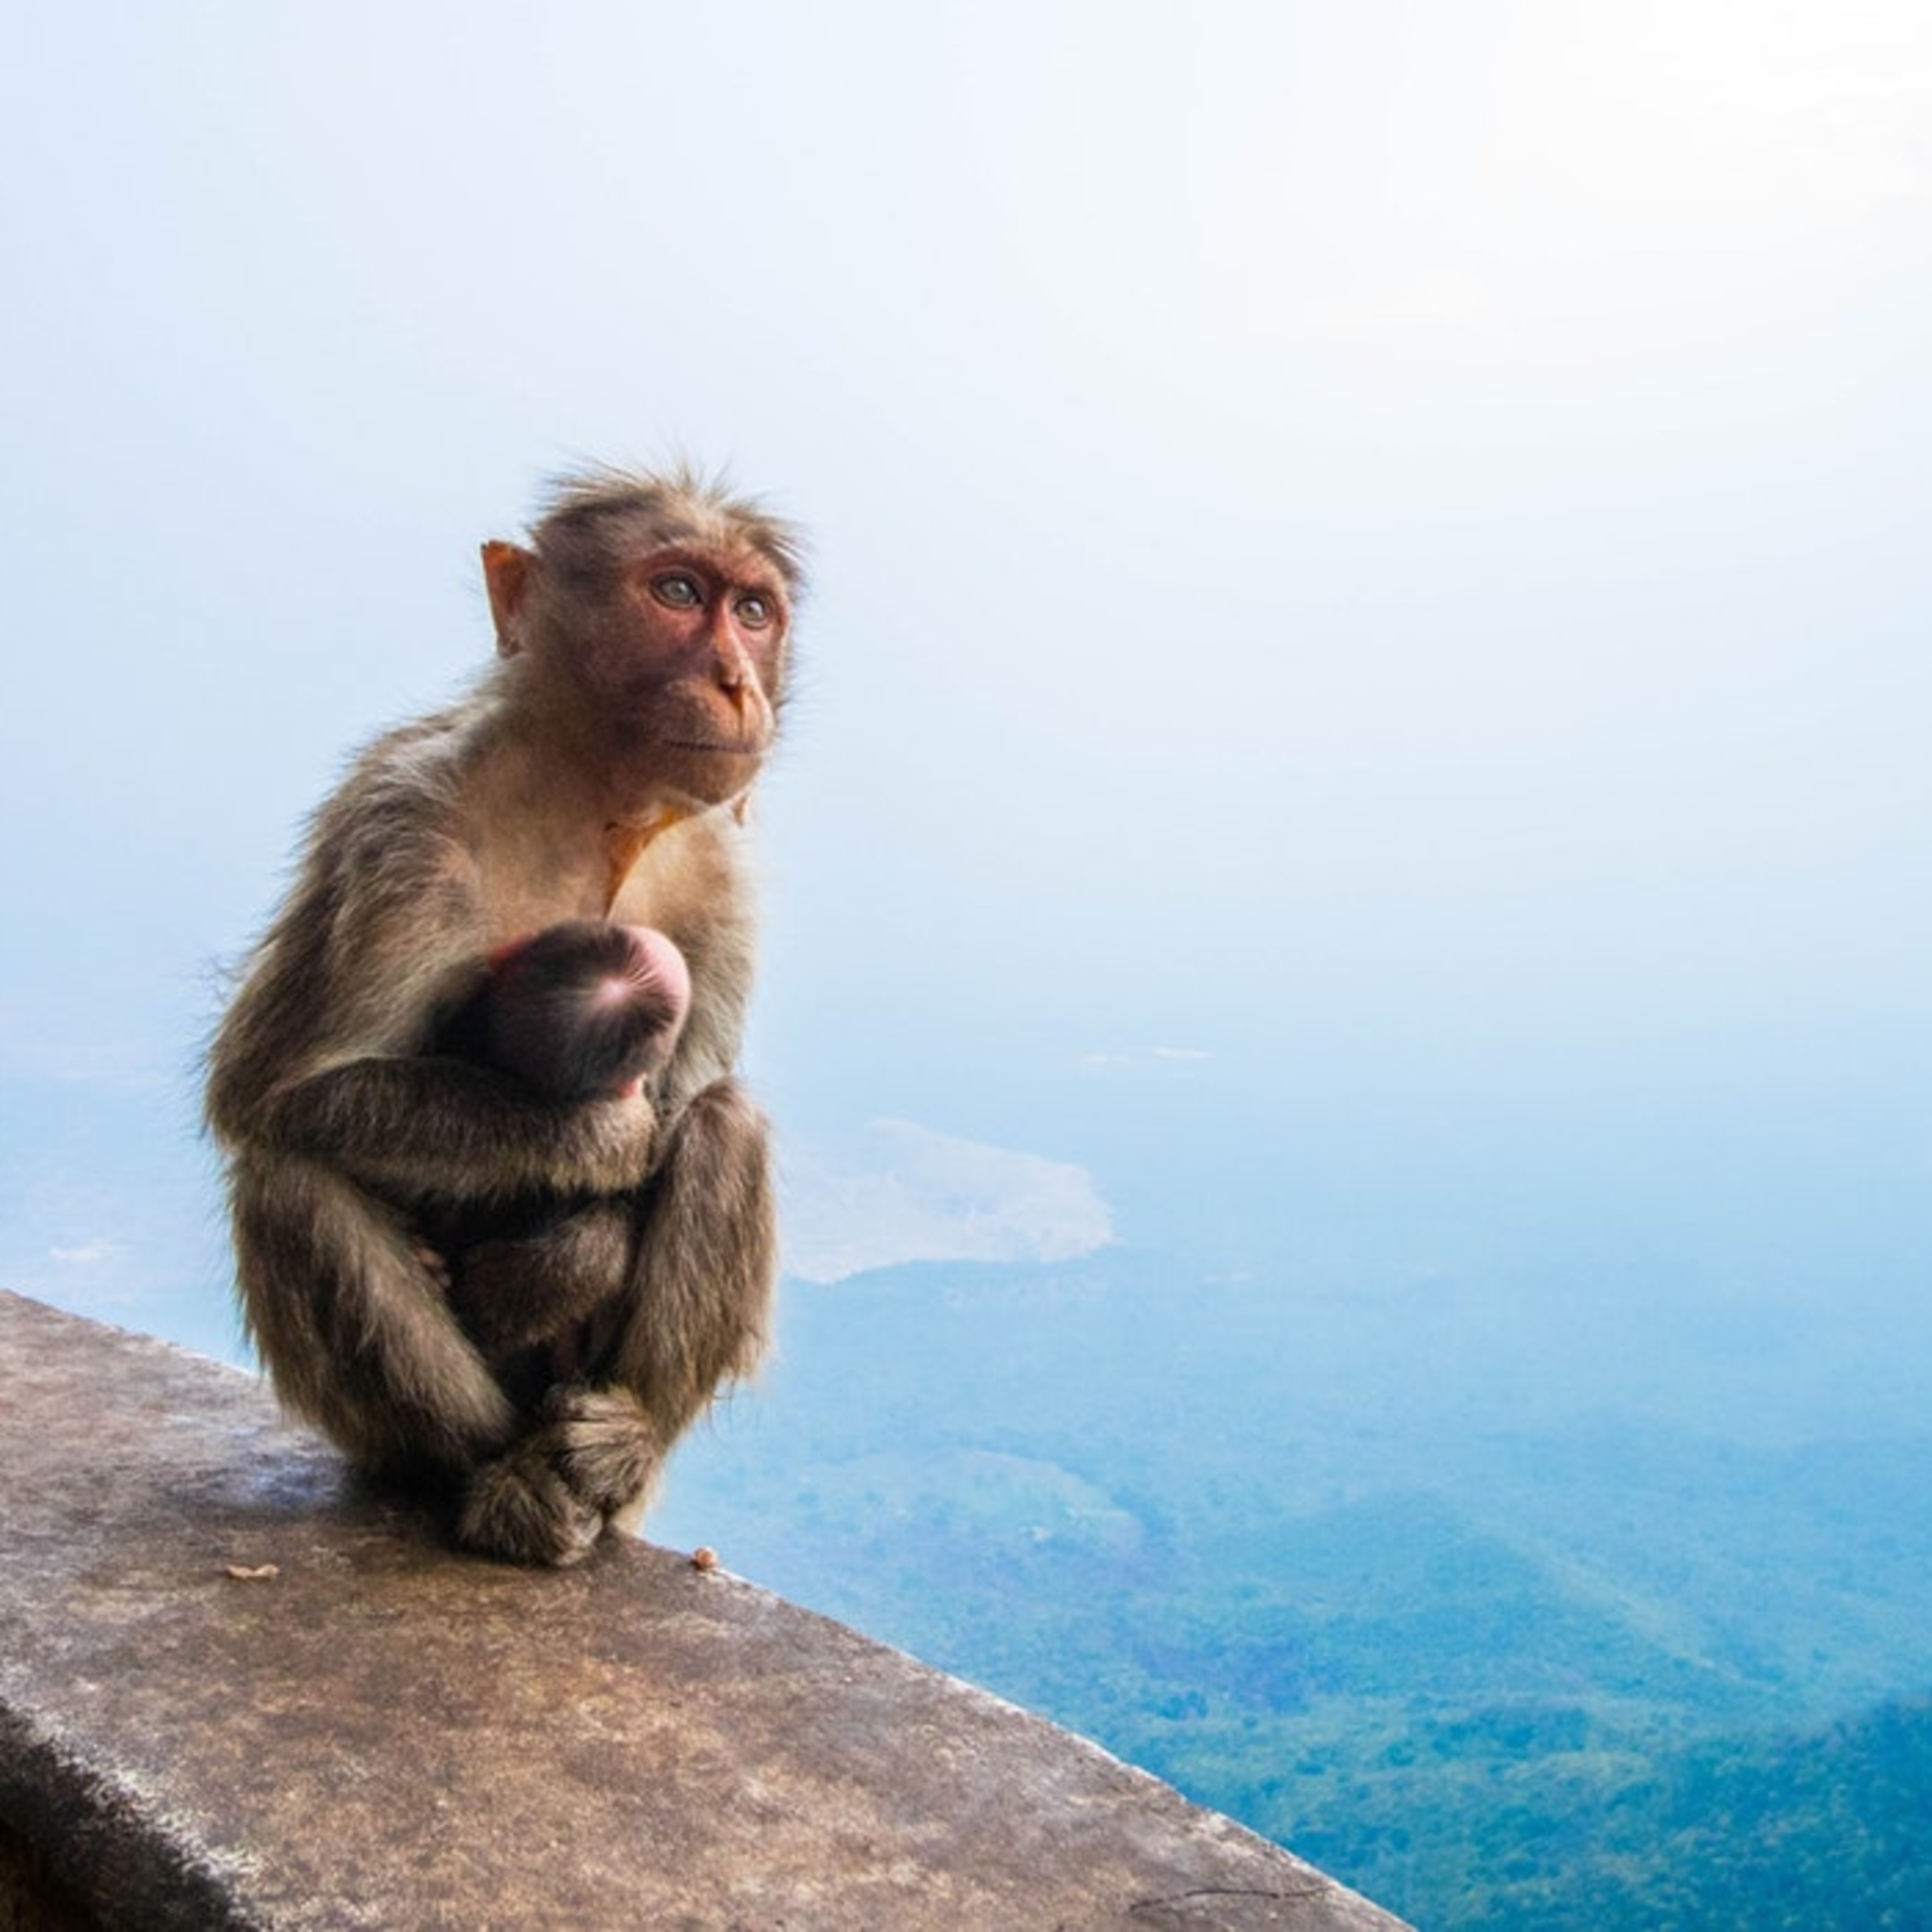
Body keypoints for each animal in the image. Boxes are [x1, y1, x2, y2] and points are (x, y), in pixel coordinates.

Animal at [205, 466, 802, 1567]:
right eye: (680, 593)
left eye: (752, 611)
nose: (738, 682)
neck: (591, 800)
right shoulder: (401, 831)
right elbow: (279, 1091)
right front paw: (594, 1140)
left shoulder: (721, 872)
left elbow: (677, 1123)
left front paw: (570, 1250)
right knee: (285, 1178)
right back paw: (491, 1476)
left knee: (724, 1123)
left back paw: (618, 1442)